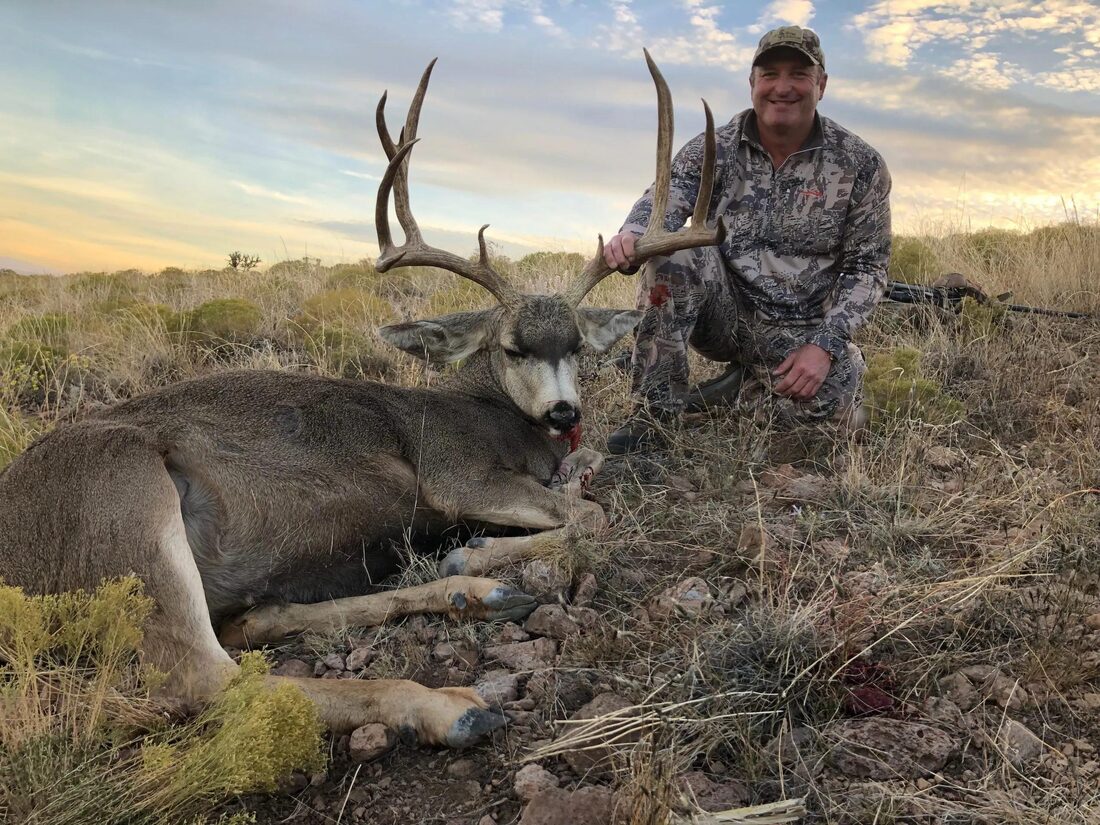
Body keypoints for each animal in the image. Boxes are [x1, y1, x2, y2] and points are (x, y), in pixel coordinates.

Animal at [0, 51, 724, 749]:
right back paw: (444, 701)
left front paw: (481, 554)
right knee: (204, 678)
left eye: (576, 345)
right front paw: (475, 549)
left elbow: (586, 491)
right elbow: (590, 513)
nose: (564, 413)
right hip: (124, 498)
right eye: (512, 346)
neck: (497, 415)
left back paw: (476, 596)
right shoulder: (459, 474)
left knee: (253, 620)